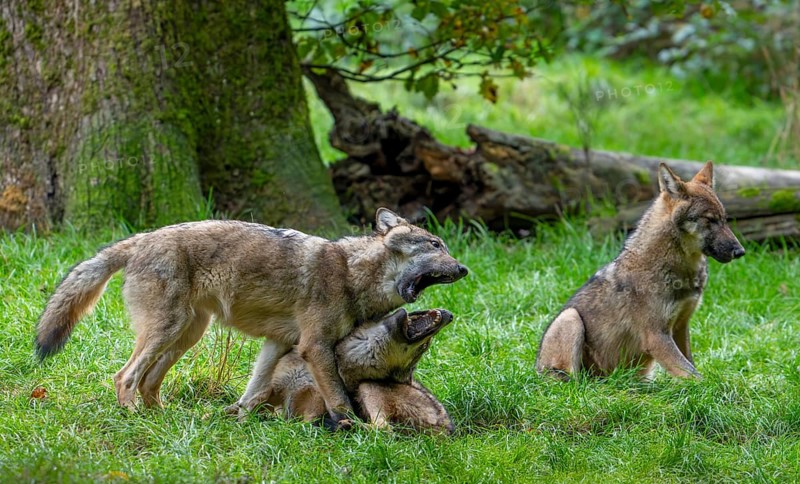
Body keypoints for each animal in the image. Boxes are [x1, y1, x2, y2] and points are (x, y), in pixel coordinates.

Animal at [256, 308, 455, 434]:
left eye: (423, 349)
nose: (451, 315)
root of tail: (448, 429)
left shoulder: (314, 404)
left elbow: (300, 423)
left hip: (368, 386)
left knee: (384, 430)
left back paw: (344, 426)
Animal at [536, 162, 744, 380]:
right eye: (709, 220)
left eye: (724, 219)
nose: (740, 251)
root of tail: (536, 367)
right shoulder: (656, 337)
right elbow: (695, 376)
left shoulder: (680, 326)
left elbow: (691, 366)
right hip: (570, 318)